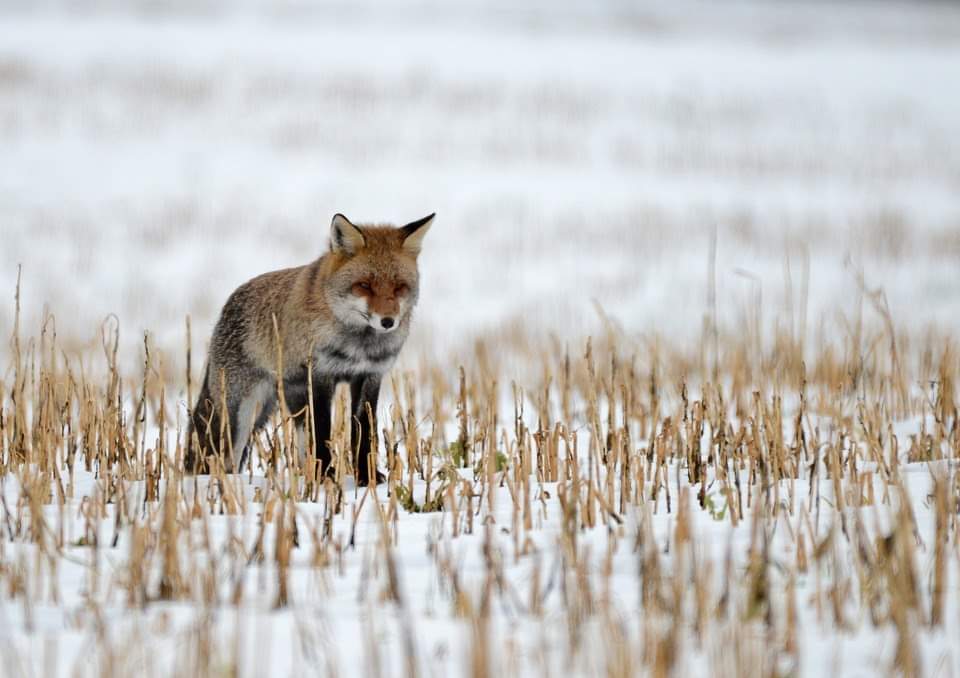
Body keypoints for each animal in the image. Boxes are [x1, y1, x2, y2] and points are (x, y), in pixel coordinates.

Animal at [186, 212, 434, 484]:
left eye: (399, 287)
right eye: (365, 285)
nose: (388, 321)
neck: (359, 345)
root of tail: (228, 304)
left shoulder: (369, 376)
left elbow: (363, 433)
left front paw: (366, 478)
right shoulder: (320, 375)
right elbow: (323, 429)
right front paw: (326, 476)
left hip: (286, 404)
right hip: (242, 413)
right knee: (224, 456)